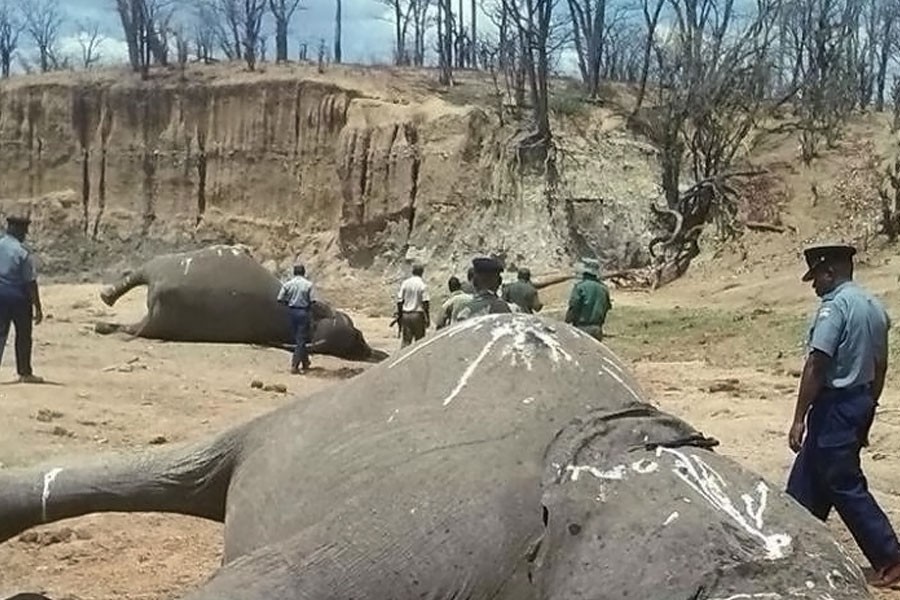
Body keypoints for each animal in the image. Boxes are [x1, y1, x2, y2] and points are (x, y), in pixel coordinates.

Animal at [93, 245, 387, 362]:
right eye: (359, 332)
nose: (374, 352)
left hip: (156, 309)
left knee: (130, 325)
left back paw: (102, 321)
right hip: (159, 266)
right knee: (132, 281)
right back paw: (105, 303)